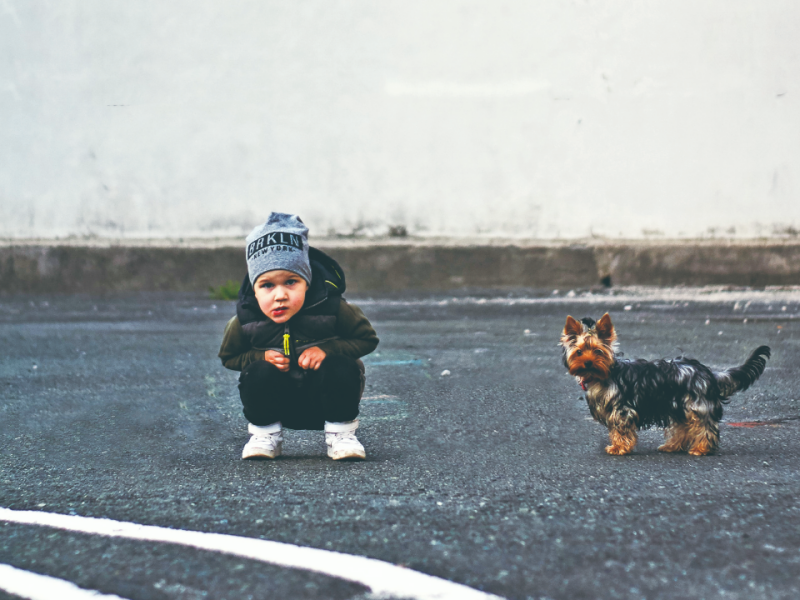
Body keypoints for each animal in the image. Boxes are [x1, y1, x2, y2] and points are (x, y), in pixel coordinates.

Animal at [560, 314, 772, 454]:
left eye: (598, 351)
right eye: (579, 352)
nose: (588, 363)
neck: (602, 375)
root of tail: (706, 372)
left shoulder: (622, 409)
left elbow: (620, 429)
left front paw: (619, 447)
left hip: (696, 405)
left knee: (705, 426)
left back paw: (701, 449)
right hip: (680, 406)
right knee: (683, 427)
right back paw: (672, 446)